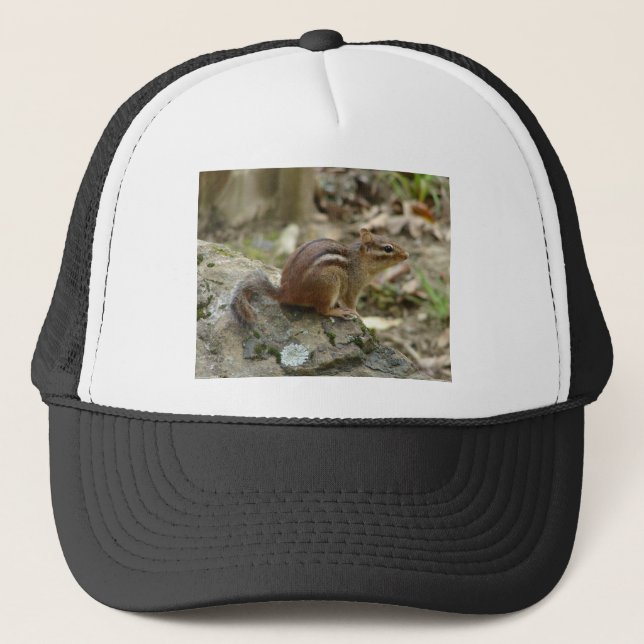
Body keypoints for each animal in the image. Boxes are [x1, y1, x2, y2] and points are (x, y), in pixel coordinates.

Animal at [230, 227, 409, 325]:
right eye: (388, 248)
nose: (407, 255)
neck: (359, 260)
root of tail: (286, 292)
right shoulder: (353, 287)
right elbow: (351, 303)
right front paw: (357, 315)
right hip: (330, 283)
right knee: (322, 310)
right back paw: (339, 312)